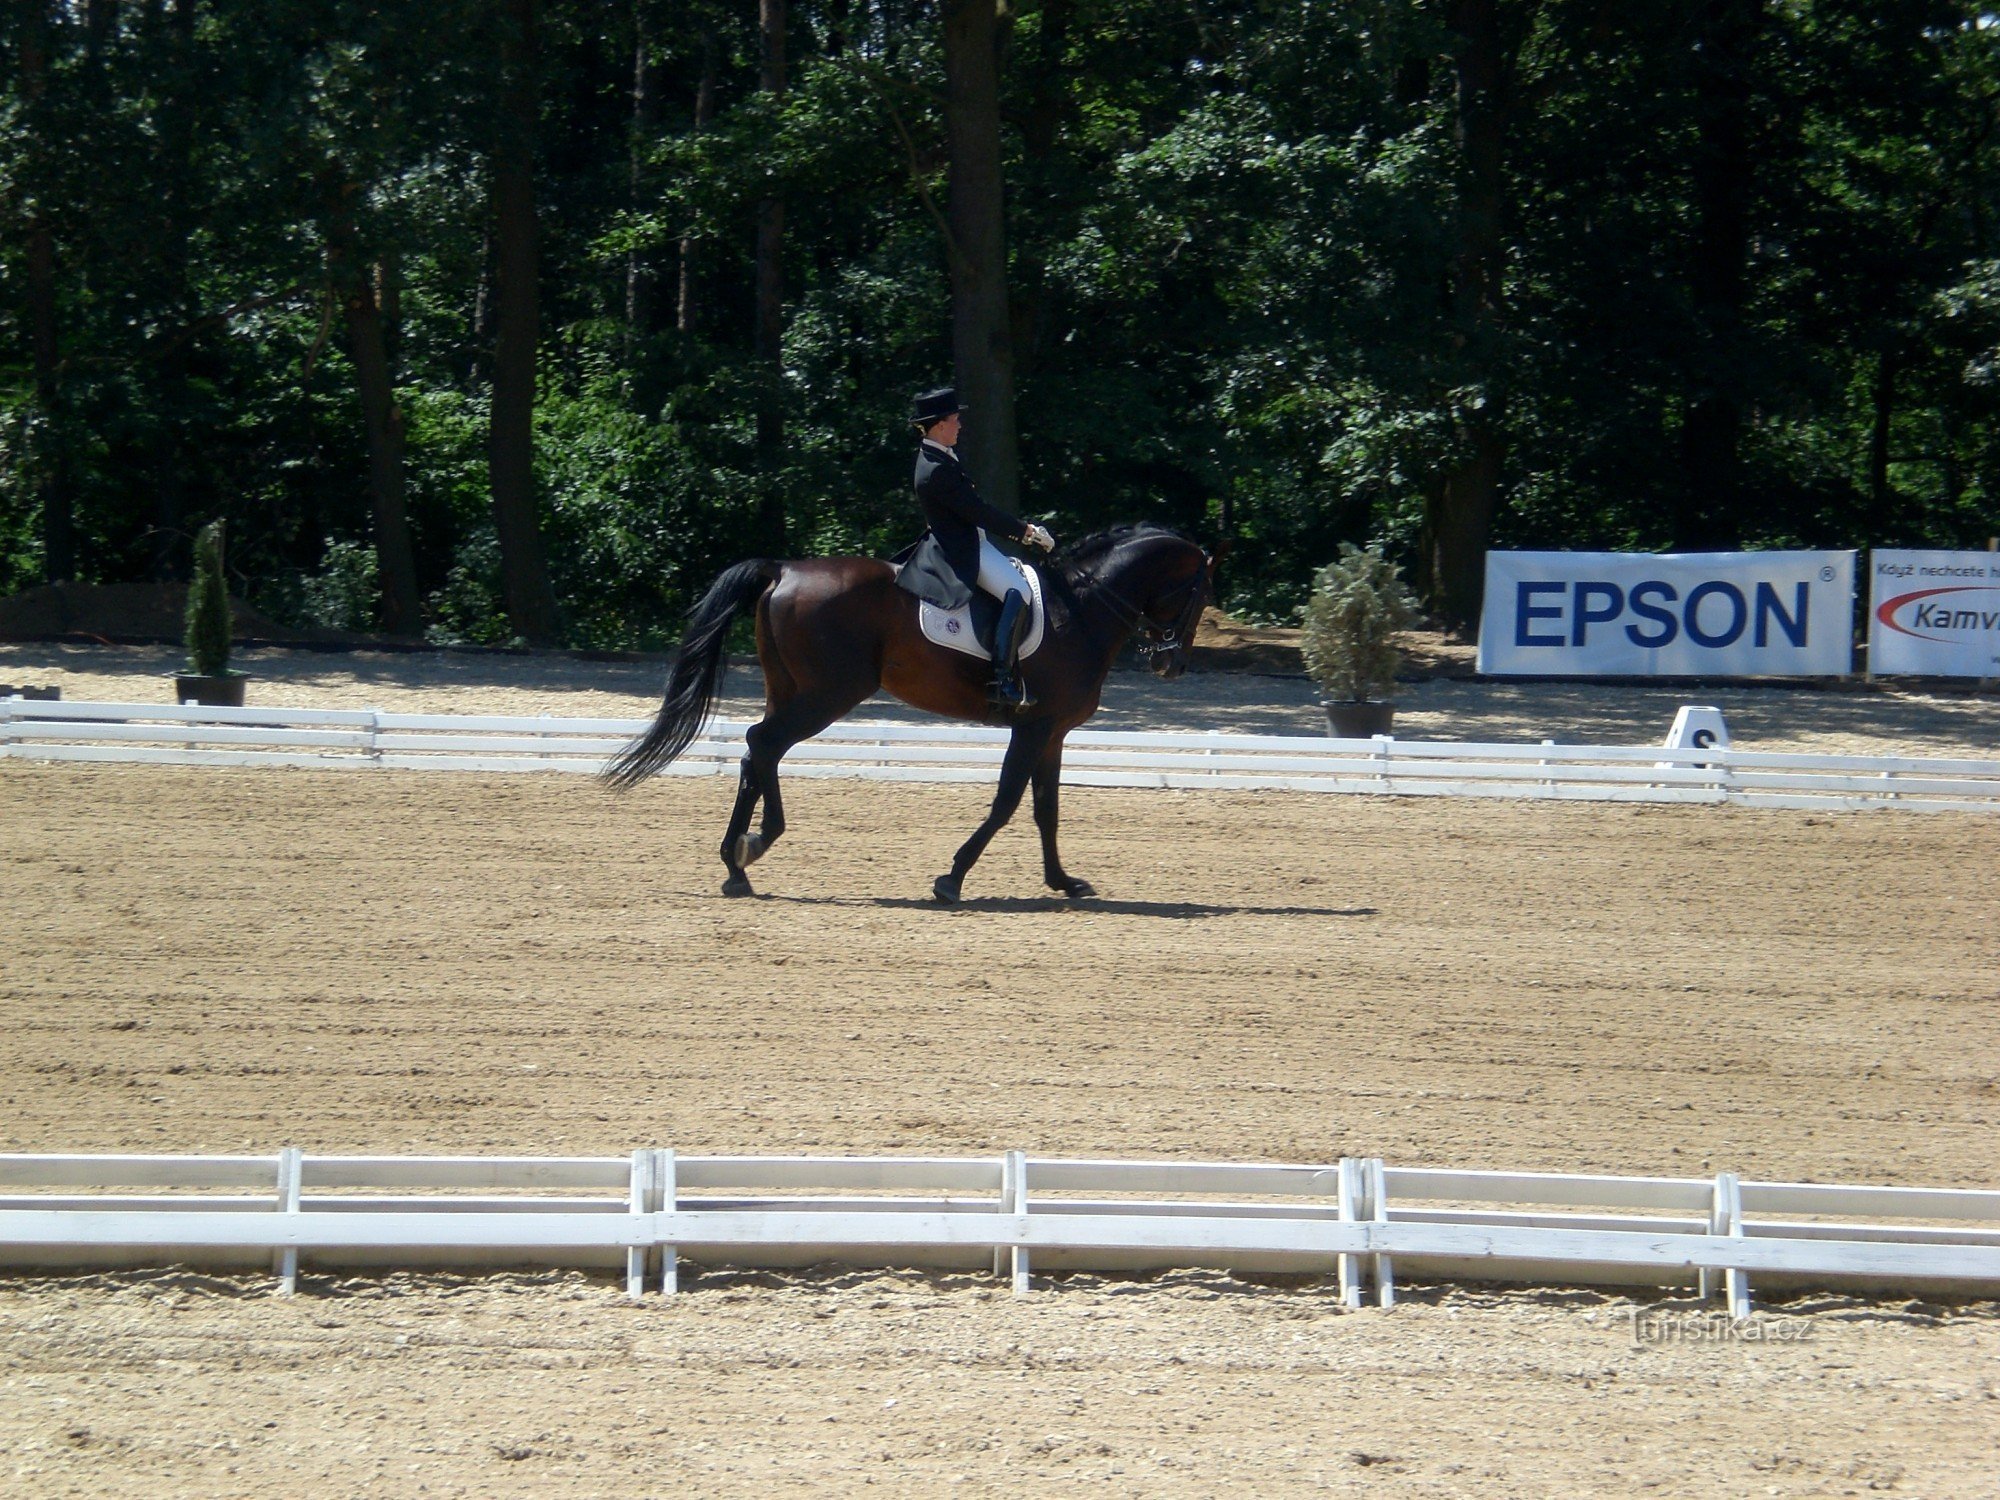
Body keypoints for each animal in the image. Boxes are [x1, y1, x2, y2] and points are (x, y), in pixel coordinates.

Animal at [600, 524, 1208, 904]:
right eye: (1198, 595)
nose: (1172, 664)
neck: (1079, 609)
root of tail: (783, 569)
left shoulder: (1052, 731)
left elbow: (1046, 810)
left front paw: (1065, 882)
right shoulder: (1033, 726)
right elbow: (1007, 803)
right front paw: (952, 878)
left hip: (790, 688)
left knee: (758, 753)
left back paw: (740, 861)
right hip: (829, 693)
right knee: (764, 745)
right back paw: (748, 850)